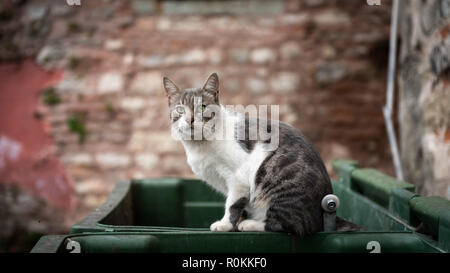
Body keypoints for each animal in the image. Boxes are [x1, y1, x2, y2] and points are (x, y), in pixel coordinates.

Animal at [163, 72, 336, 236]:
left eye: (202, 107)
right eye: (180, 109)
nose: (190, 120)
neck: (200, 144)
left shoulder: (238, 178)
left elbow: (232, 203)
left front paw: (225, 225)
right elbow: (241, 205)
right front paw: (234, 225)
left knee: (289, 224)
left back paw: (251, 224)